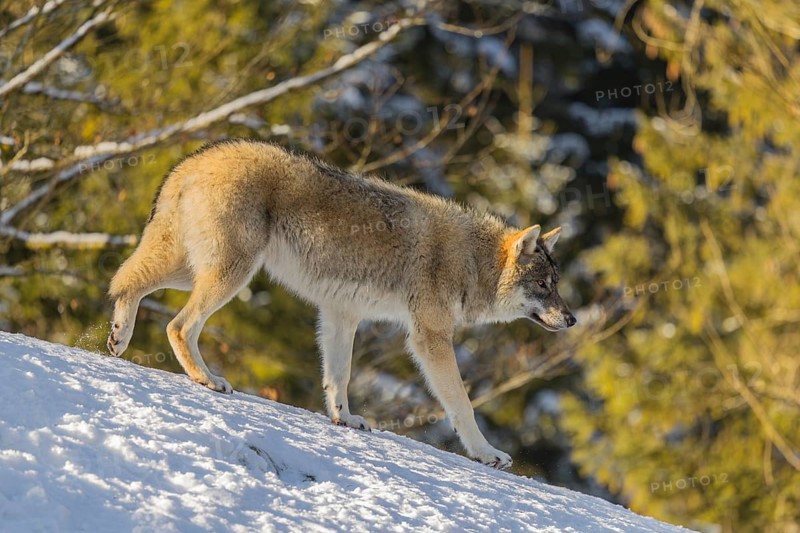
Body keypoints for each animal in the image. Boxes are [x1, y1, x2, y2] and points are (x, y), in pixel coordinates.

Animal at [107, 139, 576, 469]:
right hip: (229, 275)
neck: (474, 261)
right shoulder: (429, 337)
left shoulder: (341, 314)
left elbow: (339, 378)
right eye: (544, 285)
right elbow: (462, 404)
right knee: (177, 325)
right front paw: (486, 454)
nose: (572, 319)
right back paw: (206, 379)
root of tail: (195, 159)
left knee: (124, 283)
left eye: (557, 285)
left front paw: (344, 420)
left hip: (191, 269)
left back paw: (117, 339)